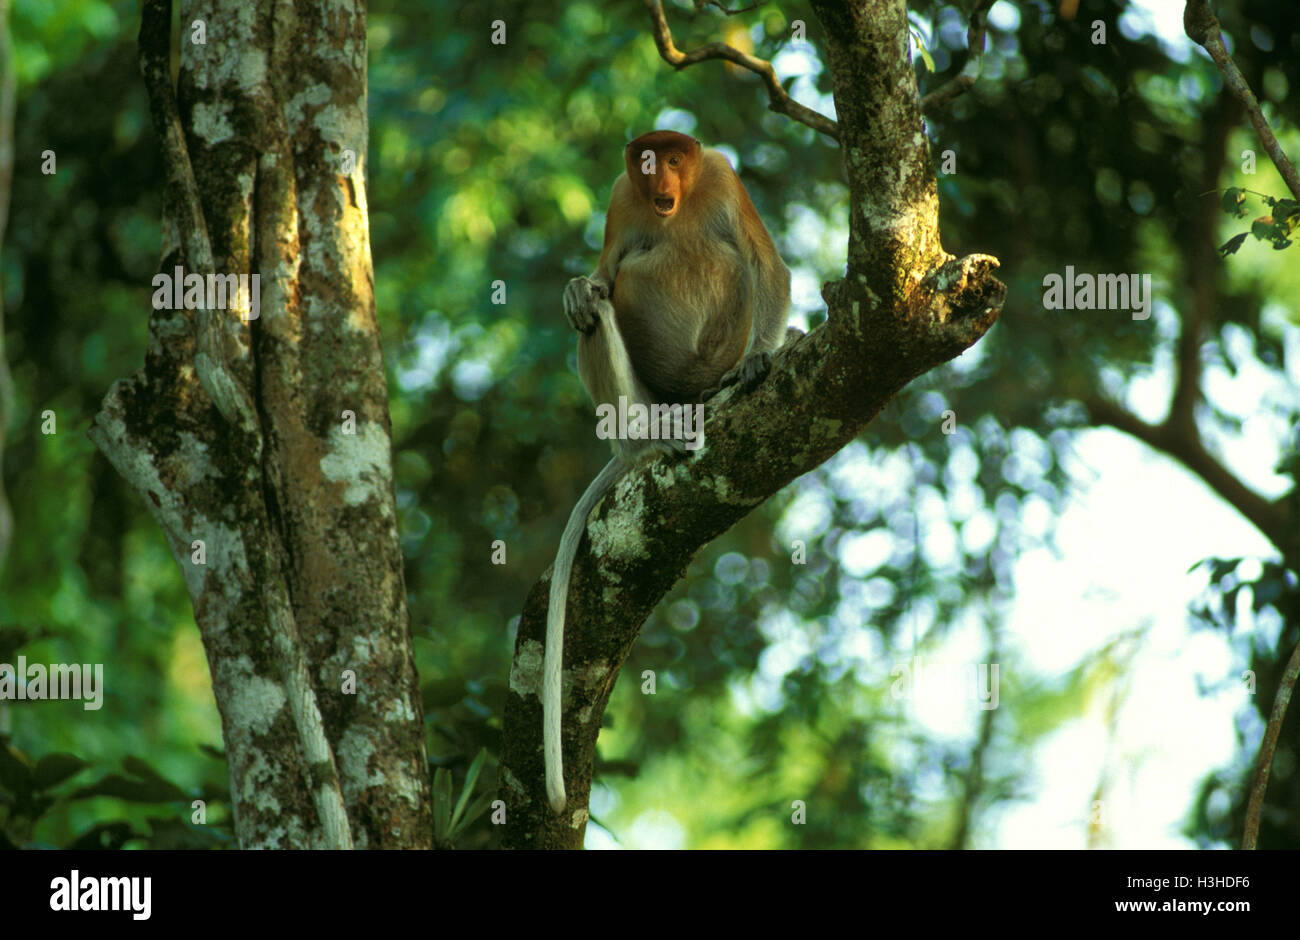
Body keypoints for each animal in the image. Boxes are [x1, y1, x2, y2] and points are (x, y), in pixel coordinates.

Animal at [543, 130, 795, 816]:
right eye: (645, 161)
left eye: (676, 158)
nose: (659, 177)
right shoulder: (621, 197)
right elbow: (605, 274)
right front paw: (575, 287)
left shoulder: (723, 179)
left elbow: (767, 265)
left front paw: (761, 359)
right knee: (599, 308)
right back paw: (646, 442)